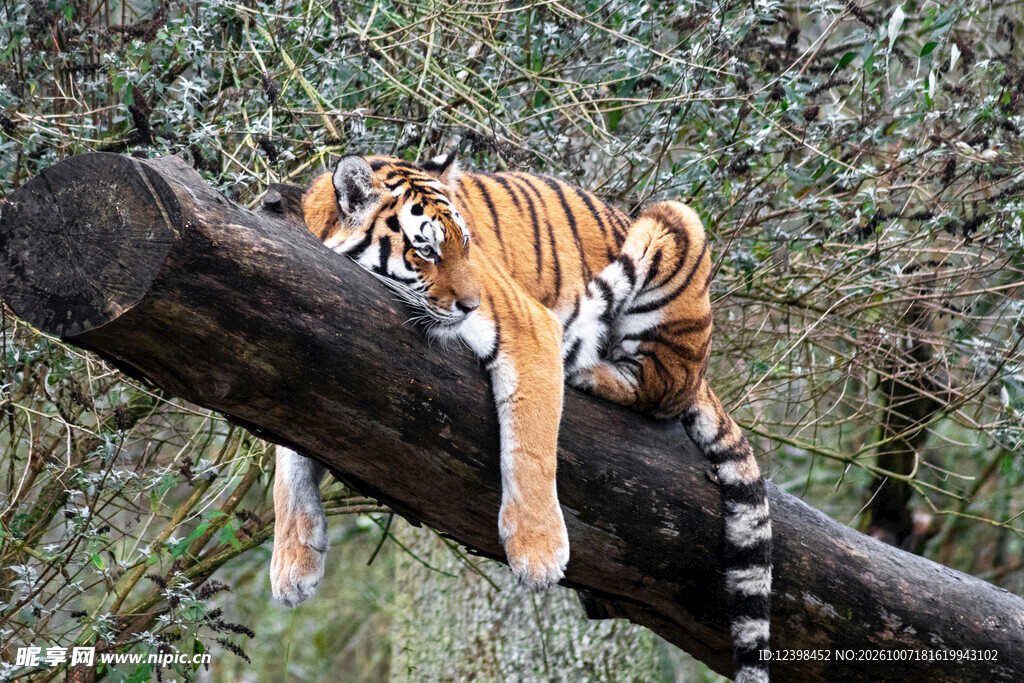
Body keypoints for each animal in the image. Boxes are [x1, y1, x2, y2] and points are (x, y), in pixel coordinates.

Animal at [269, 153, 773, 683]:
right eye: (425, 250)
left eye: (466, 243)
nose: (471, 304)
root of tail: (704, 371)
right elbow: (288, 461)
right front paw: (292, 564)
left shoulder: (530, 328)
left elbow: (530, 448)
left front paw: (538, 554)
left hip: (675, 223)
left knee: (659, 389)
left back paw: (588, 371)